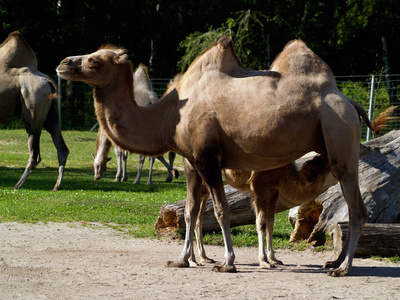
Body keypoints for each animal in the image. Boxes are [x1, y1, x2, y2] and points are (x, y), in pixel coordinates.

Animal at [0, 31, 69, 191]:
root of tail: (49, 81)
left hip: (32, 111)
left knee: (35, 154)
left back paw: (17, 185)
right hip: (52, 116)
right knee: (62, 148)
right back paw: (57, 185)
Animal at [57, 36, 382, 276]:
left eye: (94, 60)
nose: (62, 63)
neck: (169, 116)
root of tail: (348, 100)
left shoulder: (207, 158)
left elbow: (221, 210)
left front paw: (227, 262)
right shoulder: (190, 162)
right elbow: (191, 212)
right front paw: (182, 260)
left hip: (339, 133)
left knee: (357, 209)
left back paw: (342, 268)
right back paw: (334, 262)